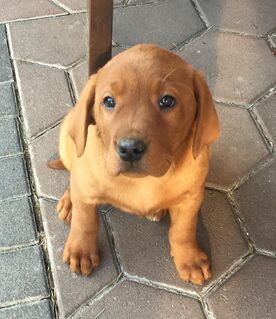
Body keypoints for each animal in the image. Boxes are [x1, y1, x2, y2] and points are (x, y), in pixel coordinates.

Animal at [52, 43, 220, 286]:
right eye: (109, 101)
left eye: (167, 101)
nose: (130, 148)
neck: (143, 182)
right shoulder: (86, 186)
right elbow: (85, 221)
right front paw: (81, 250)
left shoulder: (191, 197)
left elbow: (183, 230)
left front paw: (190, 259)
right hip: (68, 140)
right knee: (72, 175)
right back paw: (69, 201)